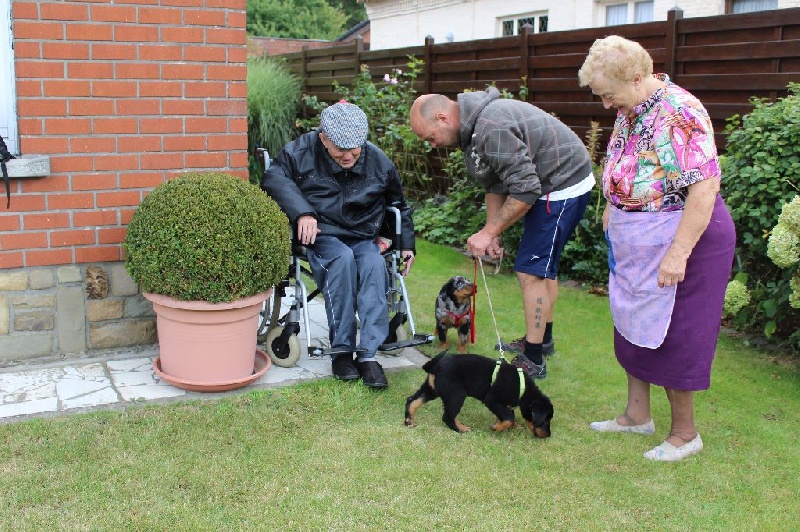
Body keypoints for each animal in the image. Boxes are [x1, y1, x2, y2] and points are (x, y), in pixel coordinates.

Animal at [404, 352, 553, 438]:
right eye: (545, 421)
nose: (548, 435)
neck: (523, 389)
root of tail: (435, 366)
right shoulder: (492, 400)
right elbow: (509, 417)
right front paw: (496, 427)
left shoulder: (504, 404)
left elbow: (509, 415)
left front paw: (515, 426)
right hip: (457, 393)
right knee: (448, 416)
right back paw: (462, 429)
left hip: (432, 389)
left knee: (412, 401)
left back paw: (409, 422)